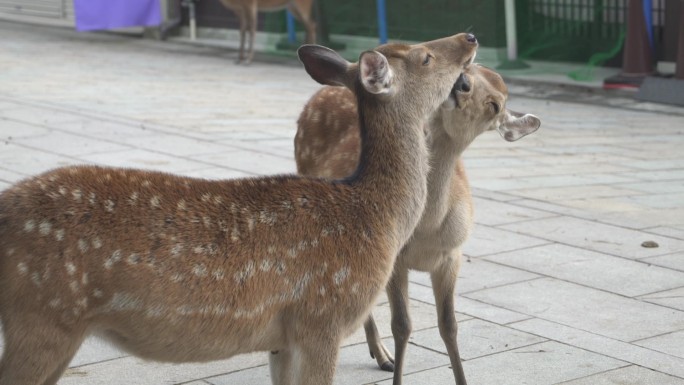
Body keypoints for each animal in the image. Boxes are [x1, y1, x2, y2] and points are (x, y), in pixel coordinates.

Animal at [0, 33, 478, 384]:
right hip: (41, 316)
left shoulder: (281, 338)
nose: (470, 37)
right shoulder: (321, 318)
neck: (378, 215)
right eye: (424, 57)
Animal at [294, 61, 540, 382]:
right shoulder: (395, 259)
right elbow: (402, 325)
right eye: (471, 67)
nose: (462, 84)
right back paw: (381, 355)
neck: (428, 230)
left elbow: (449, 326)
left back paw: (380, 355)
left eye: (495, 104)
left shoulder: (452, 255)